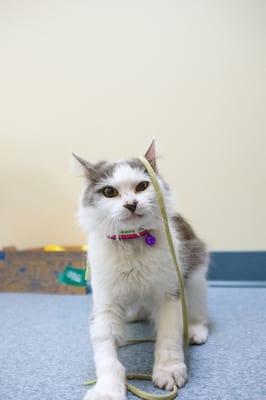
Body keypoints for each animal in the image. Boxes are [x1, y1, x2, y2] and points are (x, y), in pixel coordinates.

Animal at [74, 139, 209, 398]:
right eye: (109, 192)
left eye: (142, 186)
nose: (131, 204)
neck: (132, 243)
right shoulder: (105, 304)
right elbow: (106, 355)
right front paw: (108, 389)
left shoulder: (170, 293)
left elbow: (168, 338)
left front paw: (169, 370)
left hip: (195, 276)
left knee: (198, 313)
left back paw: (196, 331)